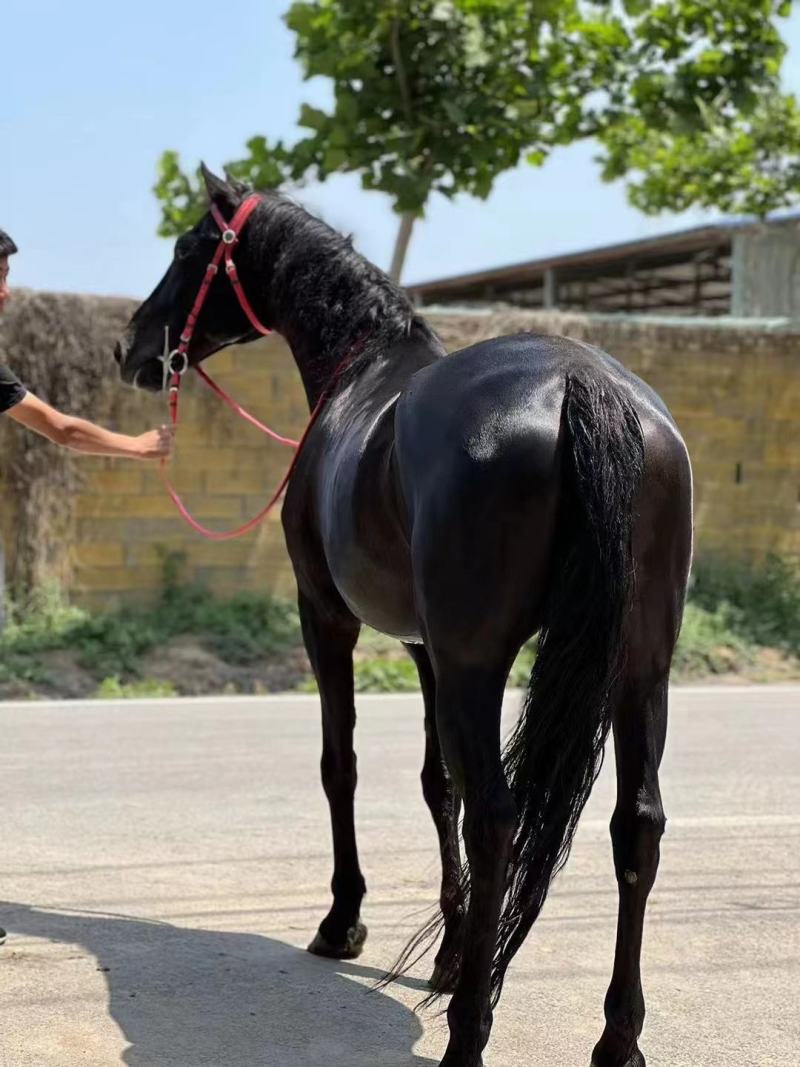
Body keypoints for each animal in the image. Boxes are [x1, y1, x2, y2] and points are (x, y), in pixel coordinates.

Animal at [115, 166, 693, 1067]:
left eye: (188, 247)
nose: (134, 350)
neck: (362, 371)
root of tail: (582, 384)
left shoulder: (331, 619)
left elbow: (341, 764)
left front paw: (343, 922)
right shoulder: (427, 649)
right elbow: (434, 782)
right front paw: (453, 953)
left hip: (478, 664)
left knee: (498, 817)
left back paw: (467, 1034)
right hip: (639, 669)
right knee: (636, 825)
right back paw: (617, 1038)